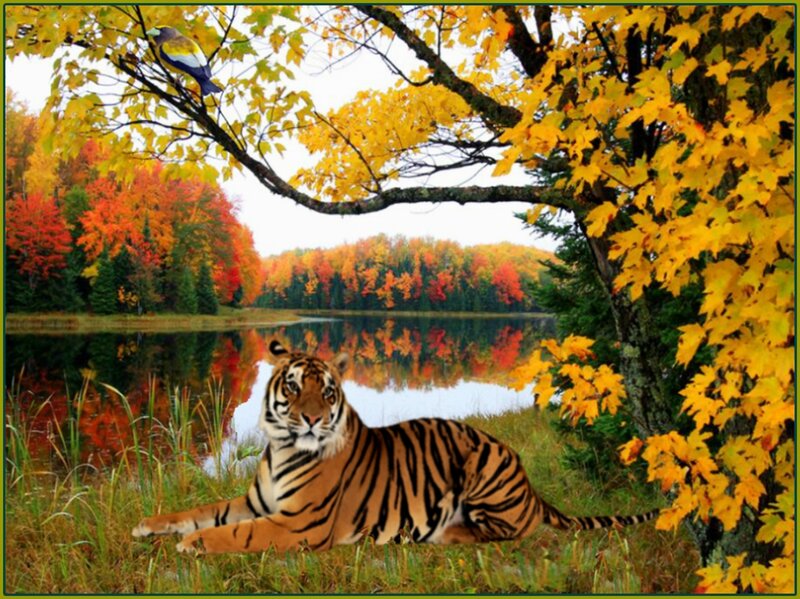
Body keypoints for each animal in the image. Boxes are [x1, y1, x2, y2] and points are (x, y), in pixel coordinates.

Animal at [132, 340, 658, 555]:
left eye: (327, 392)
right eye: (295, 386)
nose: (313, 418)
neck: (281, 447)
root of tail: (530, 486)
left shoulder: (299, 523)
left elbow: (234, 533)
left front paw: (191, 544)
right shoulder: (253, 502)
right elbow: (201, 511)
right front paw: (147, 525)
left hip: (482, 464)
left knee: (507, 532)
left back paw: (445, 533)